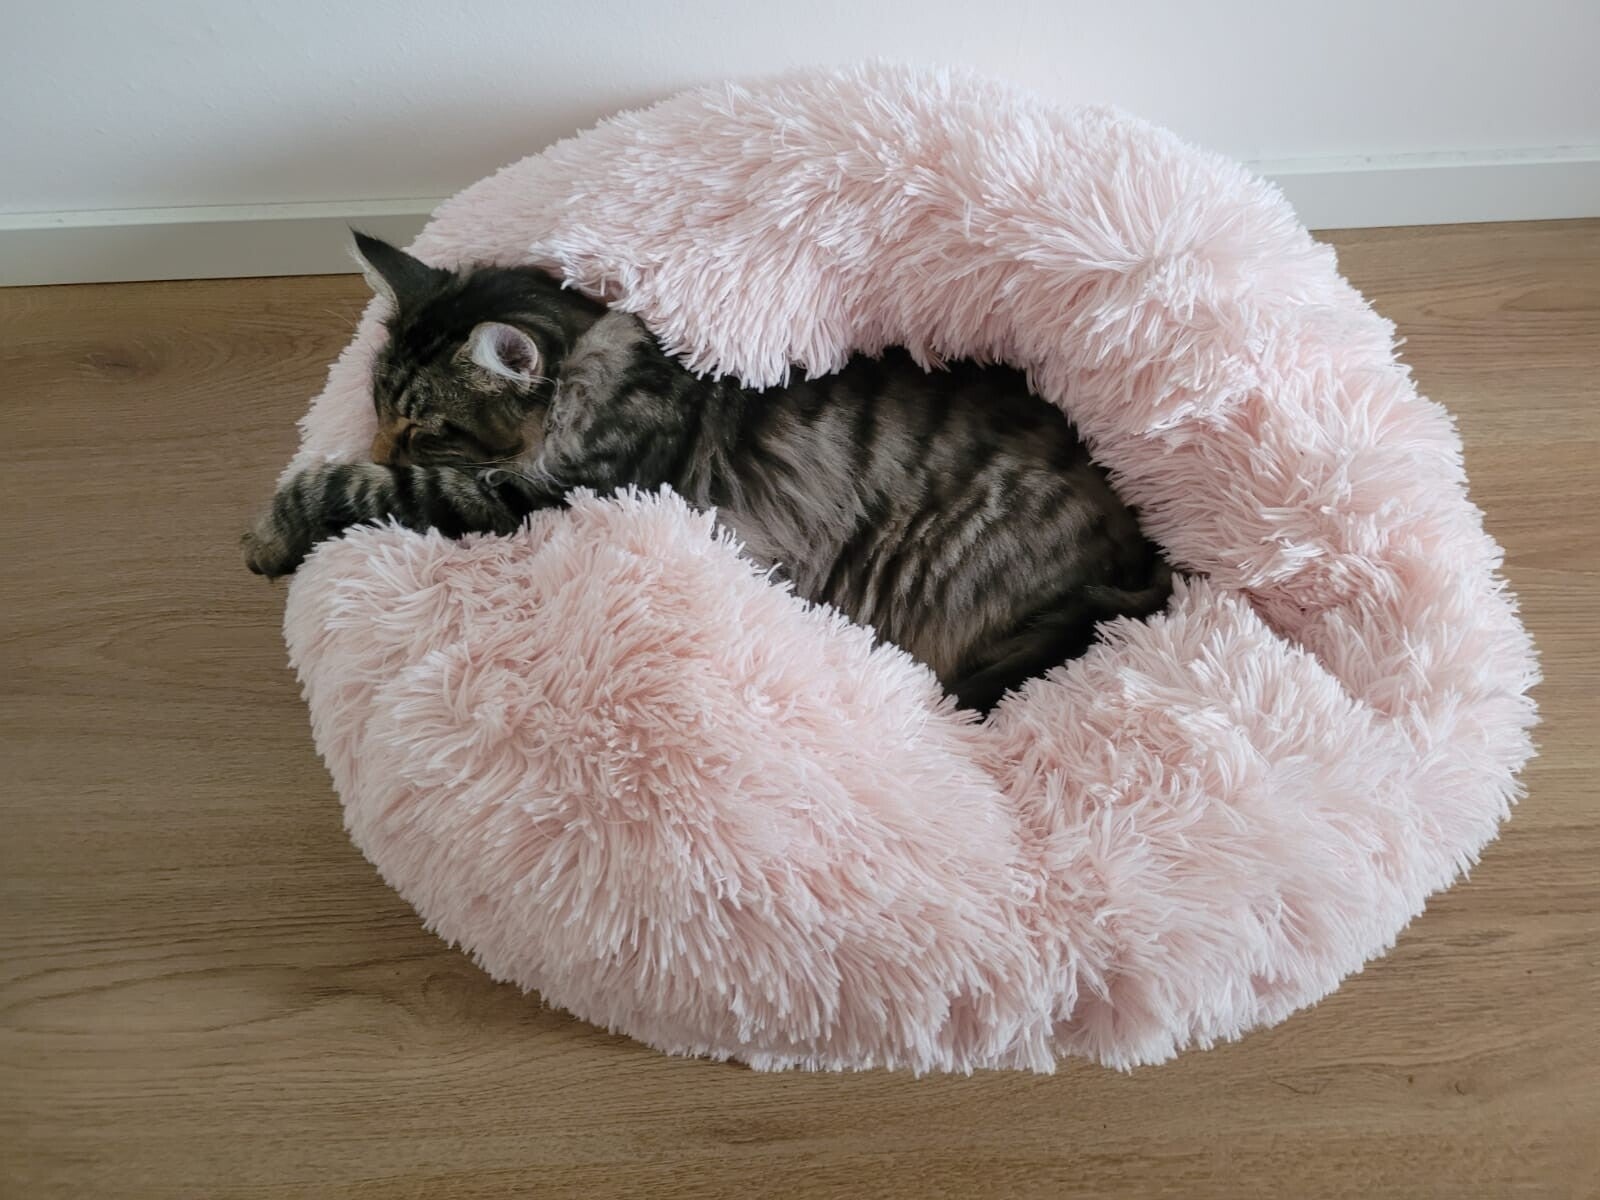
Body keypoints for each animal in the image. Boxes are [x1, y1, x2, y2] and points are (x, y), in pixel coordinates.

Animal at [243, 233, 1172, 712]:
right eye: (378, 406)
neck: (604, 375)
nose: (384, 444)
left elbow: (340, 487)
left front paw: (268, 535)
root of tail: (1142, 563)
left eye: (427, 428)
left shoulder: (523, 498)